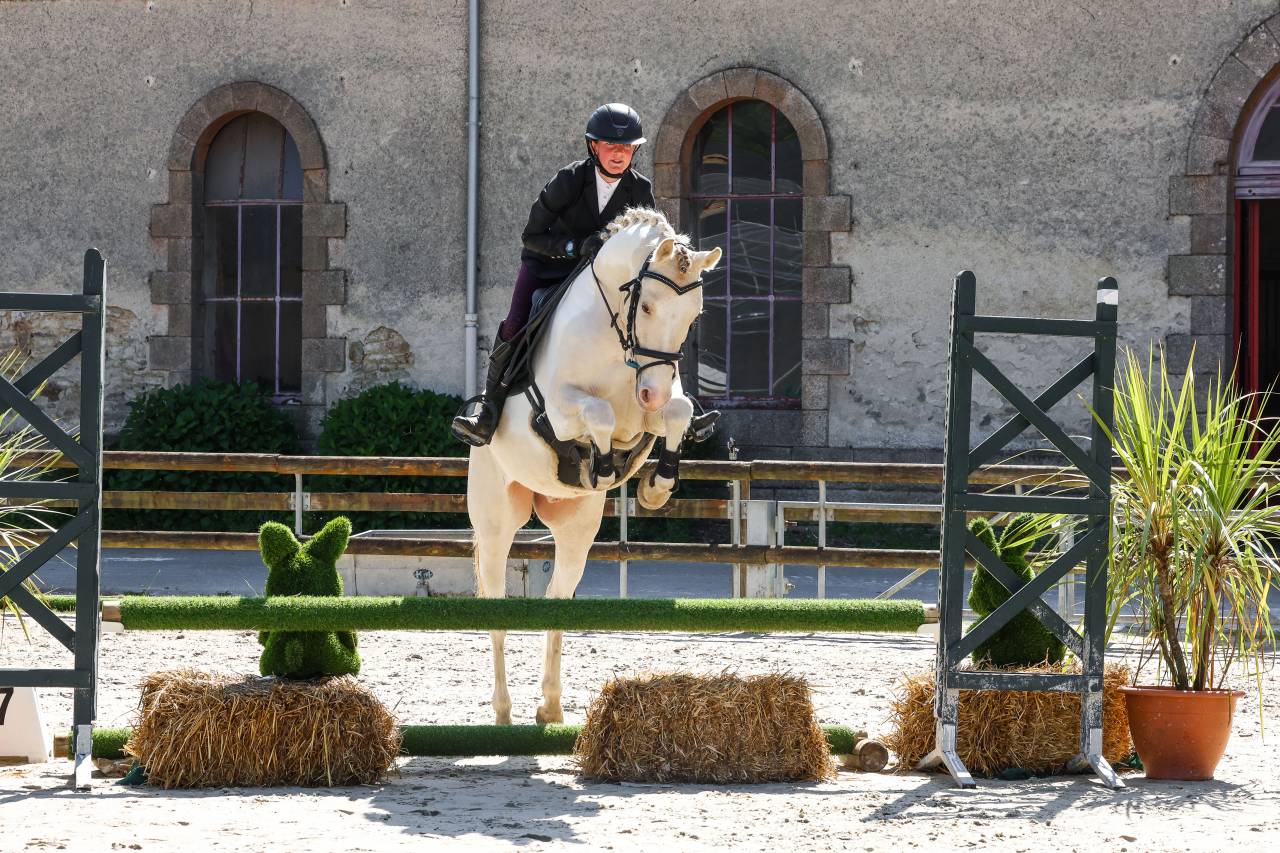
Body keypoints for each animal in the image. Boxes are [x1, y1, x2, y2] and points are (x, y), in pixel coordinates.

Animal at [468, 207, 722, 724]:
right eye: (648, 308)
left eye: (694, 315)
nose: (651, 392)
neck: (615, 338)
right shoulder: (561, 410)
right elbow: (599, 414)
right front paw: (603, 465)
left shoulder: (651, 404)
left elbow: (677, 411)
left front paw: (656, 486)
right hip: (496, 519)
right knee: (496, 604)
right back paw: (503, 713)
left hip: (576, 525)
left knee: (556, 599)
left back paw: (550, 707)